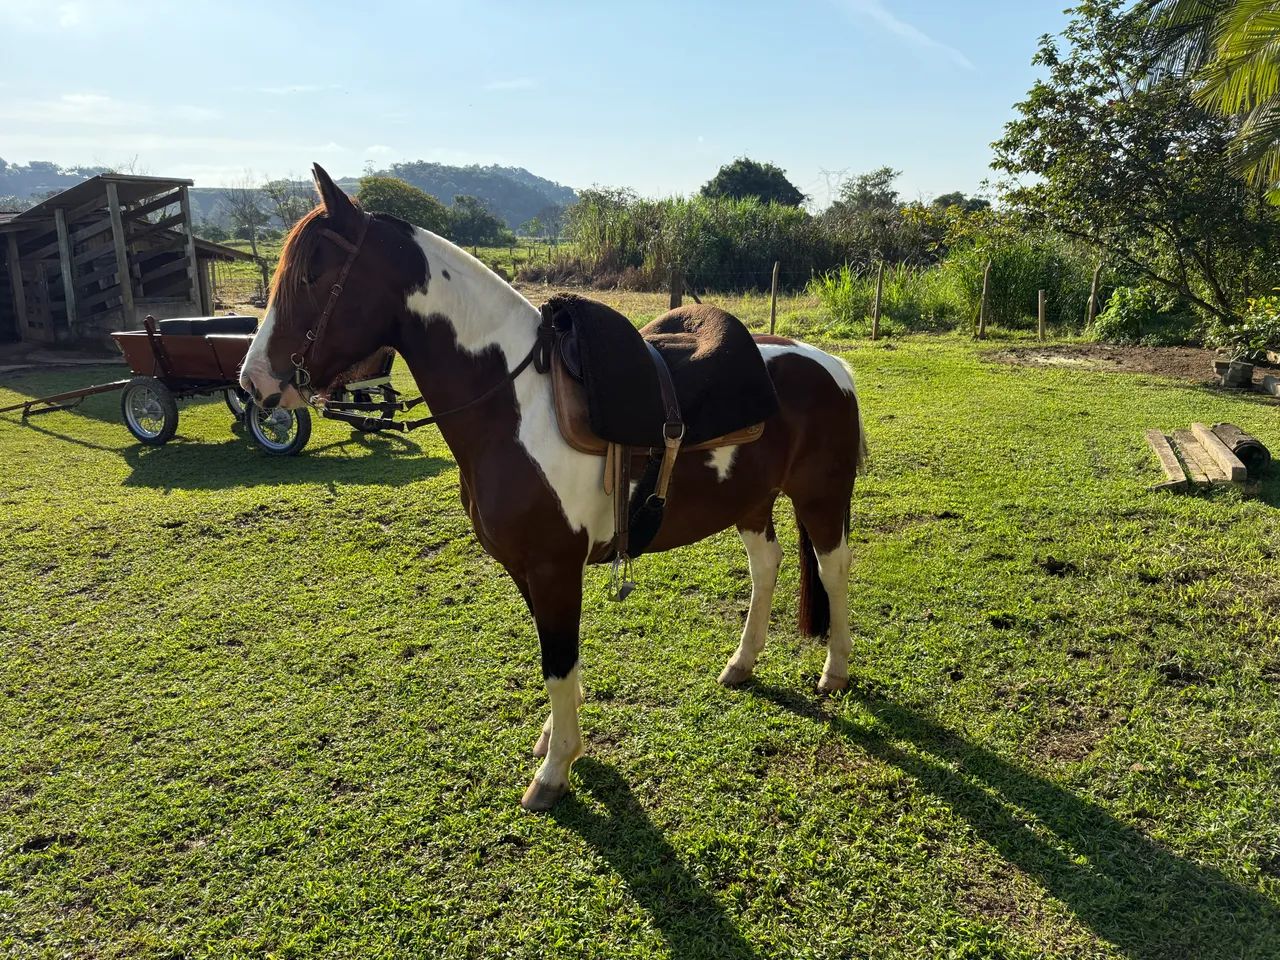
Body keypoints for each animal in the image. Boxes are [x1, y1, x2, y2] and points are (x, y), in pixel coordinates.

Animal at [239, 165, 866, 811]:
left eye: (313, 274)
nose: (253, 383)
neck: (513, 403)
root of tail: (829, 365)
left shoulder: (553, 566)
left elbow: (557, 661)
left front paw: (556, 768)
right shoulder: (526, 568)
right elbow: (558, 661)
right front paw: (554, 740)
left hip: (821, 497)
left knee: (833, 567)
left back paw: (835, 671)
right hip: (751, 501)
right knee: (766, 565)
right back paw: (742, 663)